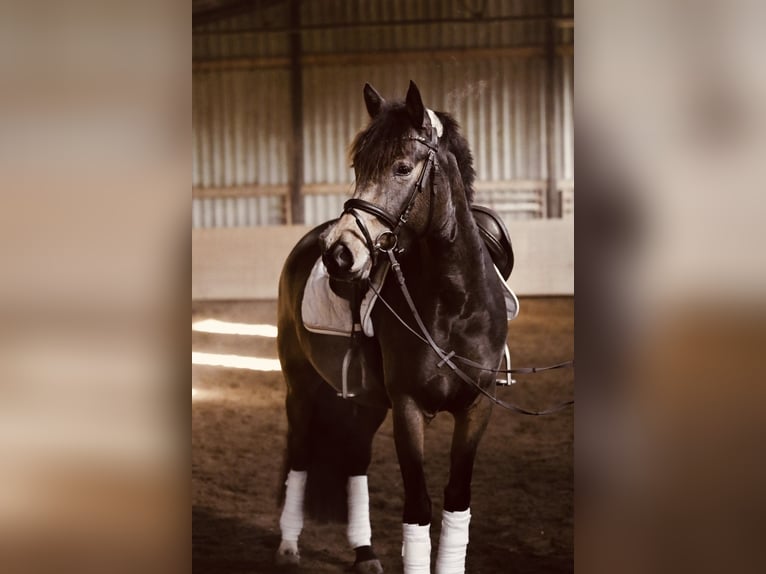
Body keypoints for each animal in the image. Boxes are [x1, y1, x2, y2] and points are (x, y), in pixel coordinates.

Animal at [276, 82, 510, 574]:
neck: (455, 303)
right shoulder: (407, 407)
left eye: (402, 167)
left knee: (354, 461)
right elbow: (418, 506)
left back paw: (364, 552)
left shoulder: (478, 407)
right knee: (302, 454)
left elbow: (456, 501)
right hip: (301, 387)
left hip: (364, 401)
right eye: (358, 166)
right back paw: (288, 546)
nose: (338, 253)